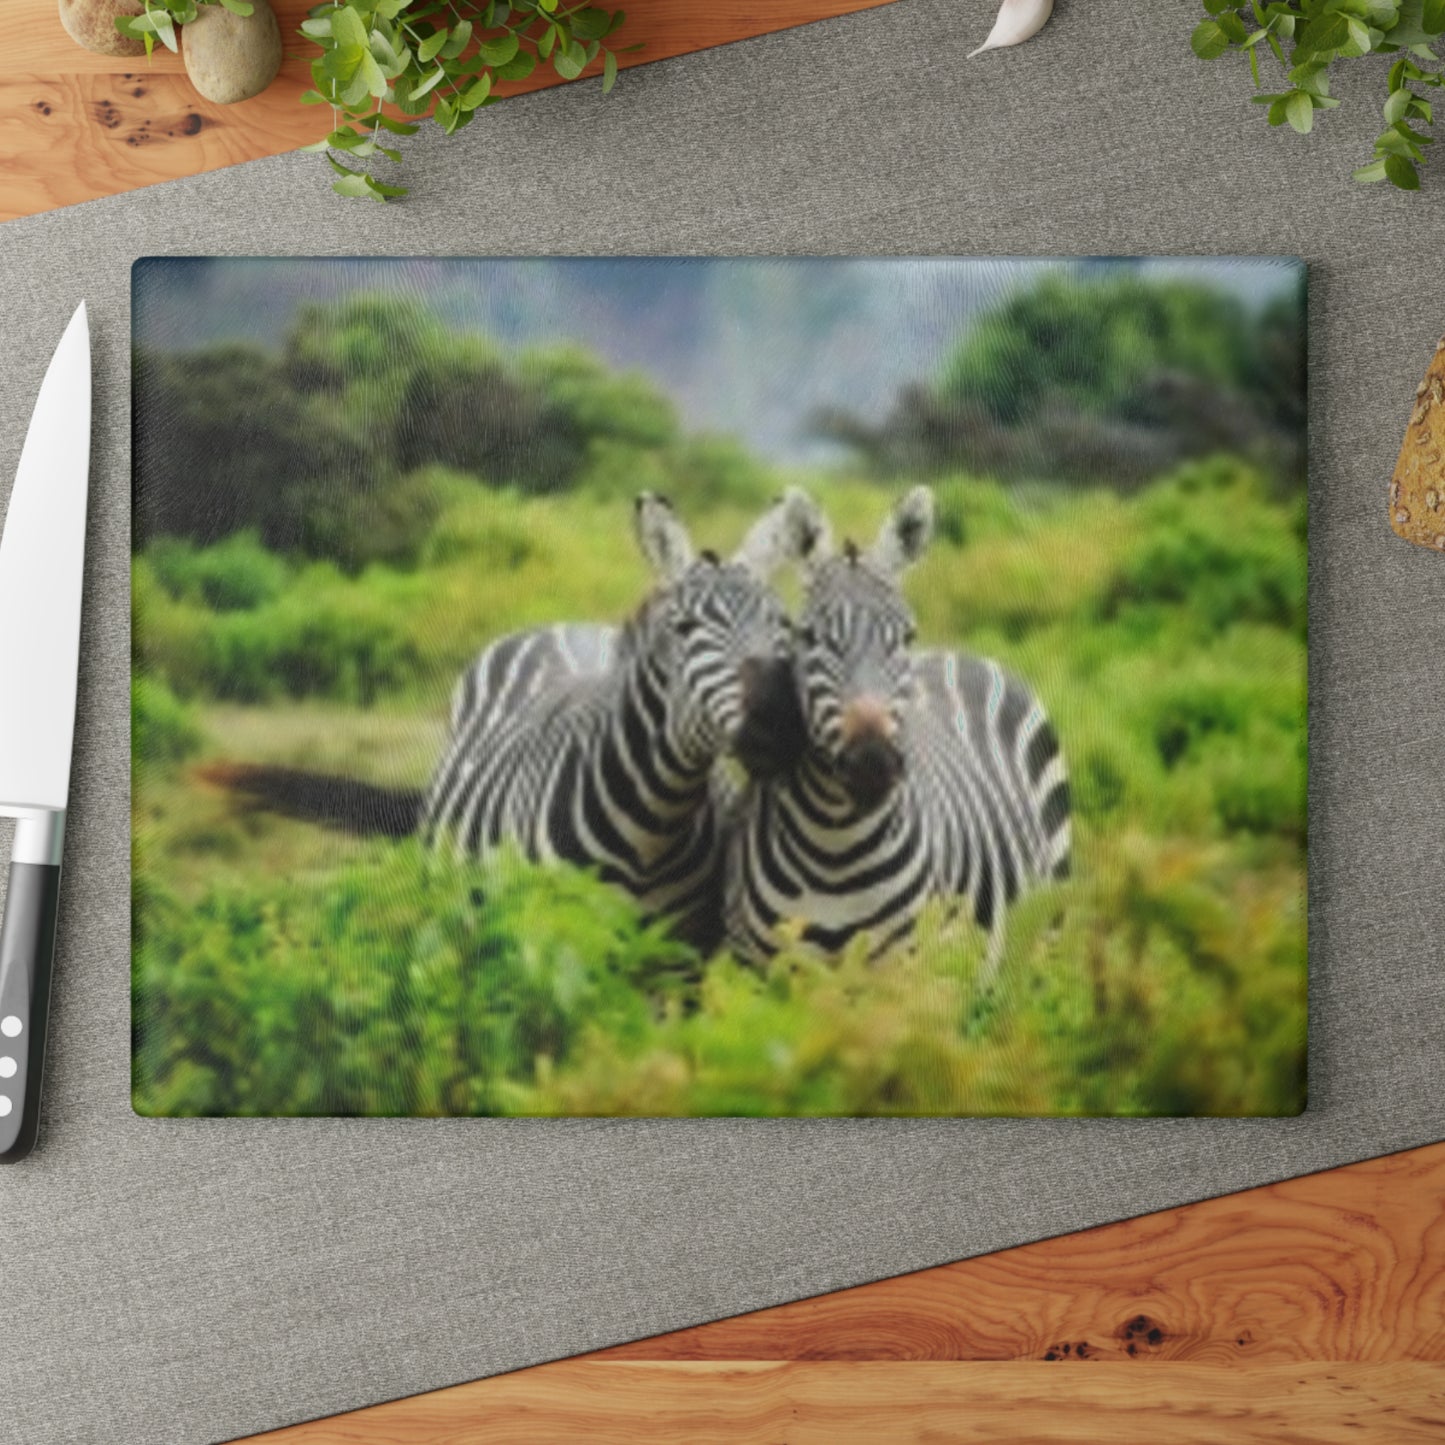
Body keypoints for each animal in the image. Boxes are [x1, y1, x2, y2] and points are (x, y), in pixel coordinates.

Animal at [420, 490, 813, 949]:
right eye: (684, 627)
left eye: (784, 625)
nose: (780, 722)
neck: (651, 830)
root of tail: (568, 625)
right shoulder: (551, 936)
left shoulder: (682, 949)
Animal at [725, 485, 1071, 975]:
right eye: (808, 637)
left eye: (906, 637)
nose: (873, 761)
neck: (834, 850)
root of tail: (960, 653)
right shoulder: (758, 969)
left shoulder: (904, 968)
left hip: (1043, 936)